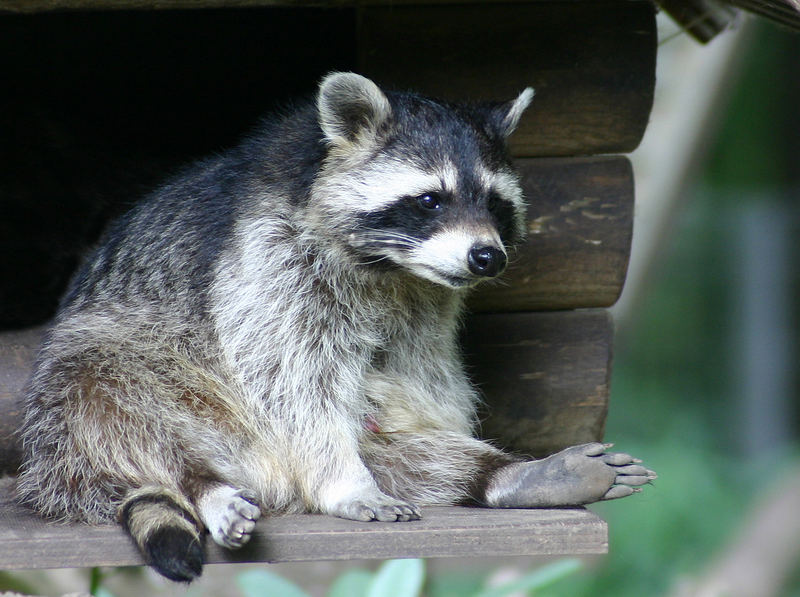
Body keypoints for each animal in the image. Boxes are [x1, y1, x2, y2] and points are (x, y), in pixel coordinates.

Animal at [15, 72, 656, 580]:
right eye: (431, 200)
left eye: (495, 204)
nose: (486, 257)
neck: (391, 266)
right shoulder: (268, 261)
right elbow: (288, 377)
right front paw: (345, 481)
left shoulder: (425, 300)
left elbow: (419, 376)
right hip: (99, 383)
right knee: (110, 397)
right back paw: (203, 484)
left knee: (400, 450)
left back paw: (504, 475)